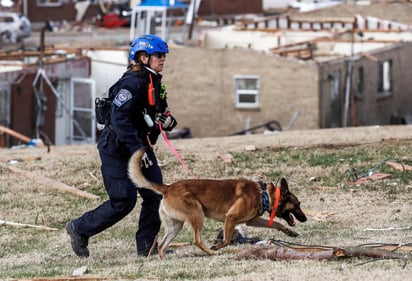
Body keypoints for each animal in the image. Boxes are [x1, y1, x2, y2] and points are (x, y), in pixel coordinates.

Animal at [129, 148, 306, 258]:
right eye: (298, 204)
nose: (305, 219)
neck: (264, 194)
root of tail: (168, 187)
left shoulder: (252, 221)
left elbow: (276, 223)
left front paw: (290, 232)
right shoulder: (231, 218)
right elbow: (226, 240)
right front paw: (216, 247)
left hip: (175, 226)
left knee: (161, 246)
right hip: (197, 214)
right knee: (197, 240)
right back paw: (212, 252)